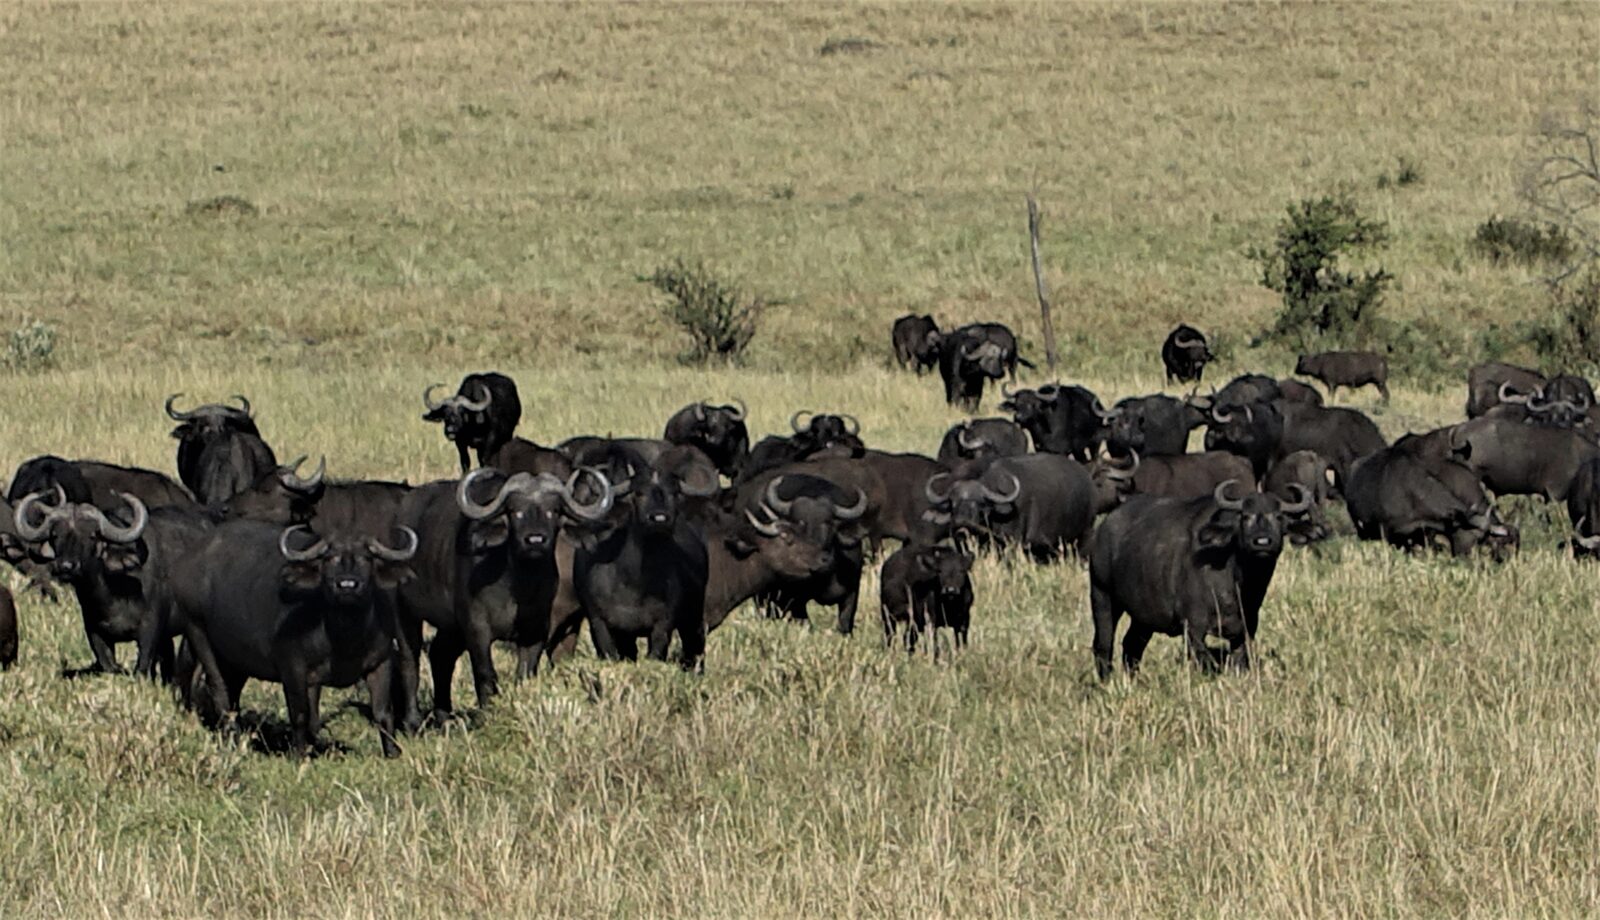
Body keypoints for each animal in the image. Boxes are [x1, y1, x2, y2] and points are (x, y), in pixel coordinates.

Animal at [1089, 482, 1310, 679]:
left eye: (1279, 517)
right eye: (1245, 517)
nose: (1262, 542)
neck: (1237, 585)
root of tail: (1104, 527)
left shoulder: (1245, 632)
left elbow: (1239, 664)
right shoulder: (1194, 630)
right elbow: (1207, 665)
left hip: (1143, 617)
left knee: (1132, 645)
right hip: (1102, 595)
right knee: (1103, 644)